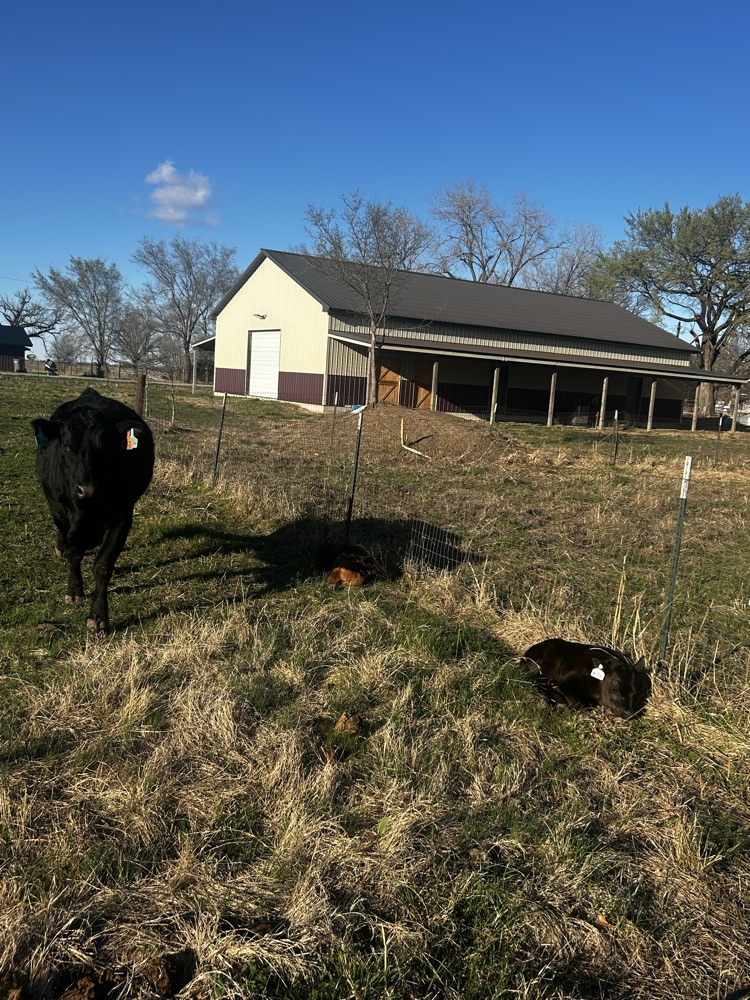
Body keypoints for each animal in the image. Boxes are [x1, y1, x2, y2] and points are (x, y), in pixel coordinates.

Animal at [32, 387, 155, 632]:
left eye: (105, 449)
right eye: (66, 446)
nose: (87, 489)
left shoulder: (122, 518)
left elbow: (103, 565)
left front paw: (98, 616)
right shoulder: (59, 511)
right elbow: (74, 553)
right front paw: (74, 590)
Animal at [521, 637, 651, 719]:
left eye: (635, 692)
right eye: (614, 689)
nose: (628, 713)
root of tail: (526, 654)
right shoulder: (566, 680)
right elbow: (583, 706)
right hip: (549, 662)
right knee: (536, 679)